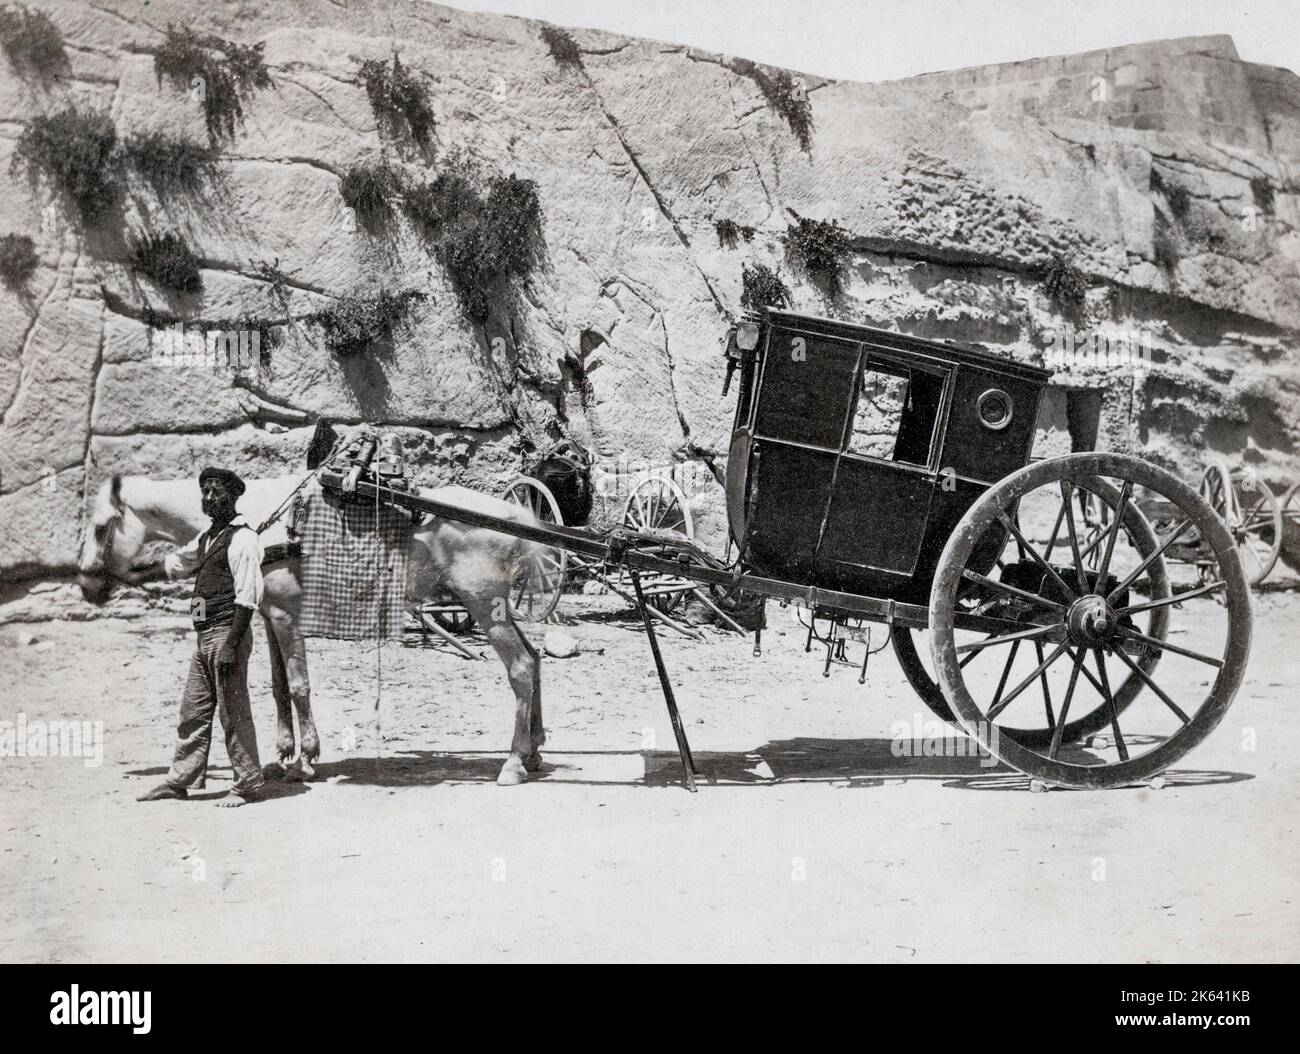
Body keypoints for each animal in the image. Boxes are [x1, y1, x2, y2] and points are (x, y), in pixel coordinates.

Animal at [76, 473, 553, 784]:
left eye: (100, 528)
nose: (85, 585)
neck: (256, 523)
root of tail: (513, 516)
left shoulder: (288, 618)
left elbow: (300, 685)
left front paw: (306, 758)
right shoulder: (270, 616)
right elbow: (278, 686)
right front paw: (284, 755)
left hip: (484, 606)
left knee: (519, 669)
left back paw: (512, 764)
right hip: (497, 608)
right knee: (533, 658)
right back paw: (532, 750)